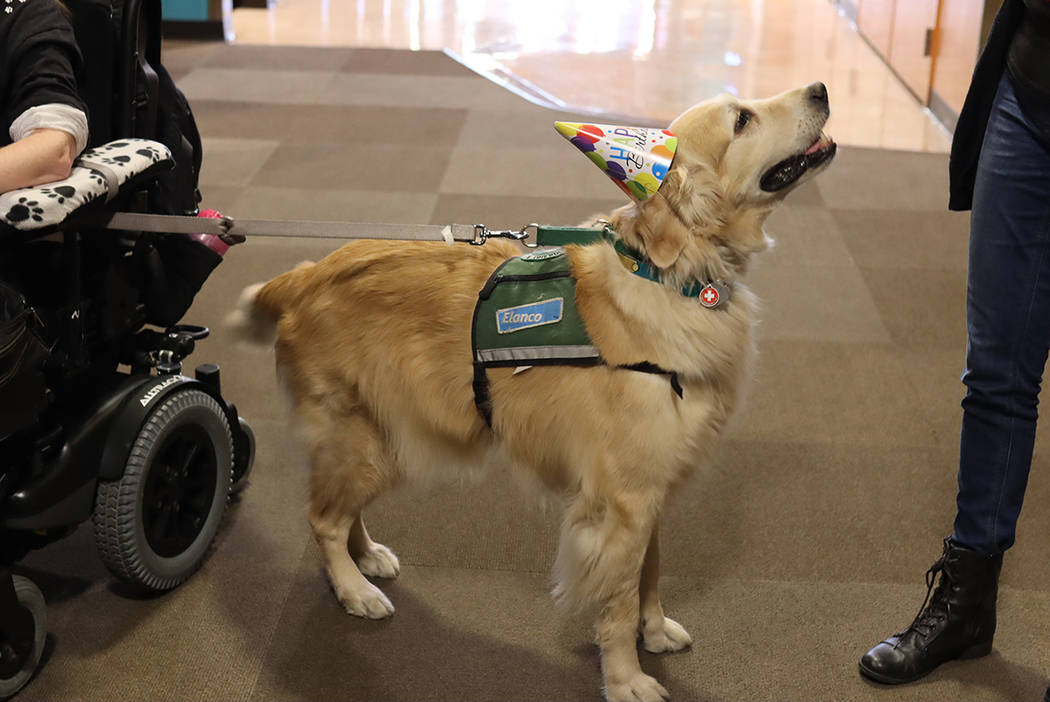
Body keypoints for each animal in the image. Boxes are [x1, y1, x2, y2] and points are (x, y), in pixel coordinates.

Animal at [229, 83, 835, 700]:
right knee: (322, 518)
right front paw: (626, 678)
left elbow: (651, 571)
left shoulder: (651, 491)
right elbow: (618, 602)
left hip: (384, 438)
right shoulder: (622, 502)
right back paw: (353, 588)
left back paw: (366, 557)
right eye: (742, 119)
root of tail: (303, 273)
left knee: (339, 509)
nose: (820, 89)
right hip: (363, 442)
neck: (667, 274)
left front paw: (655, 629)